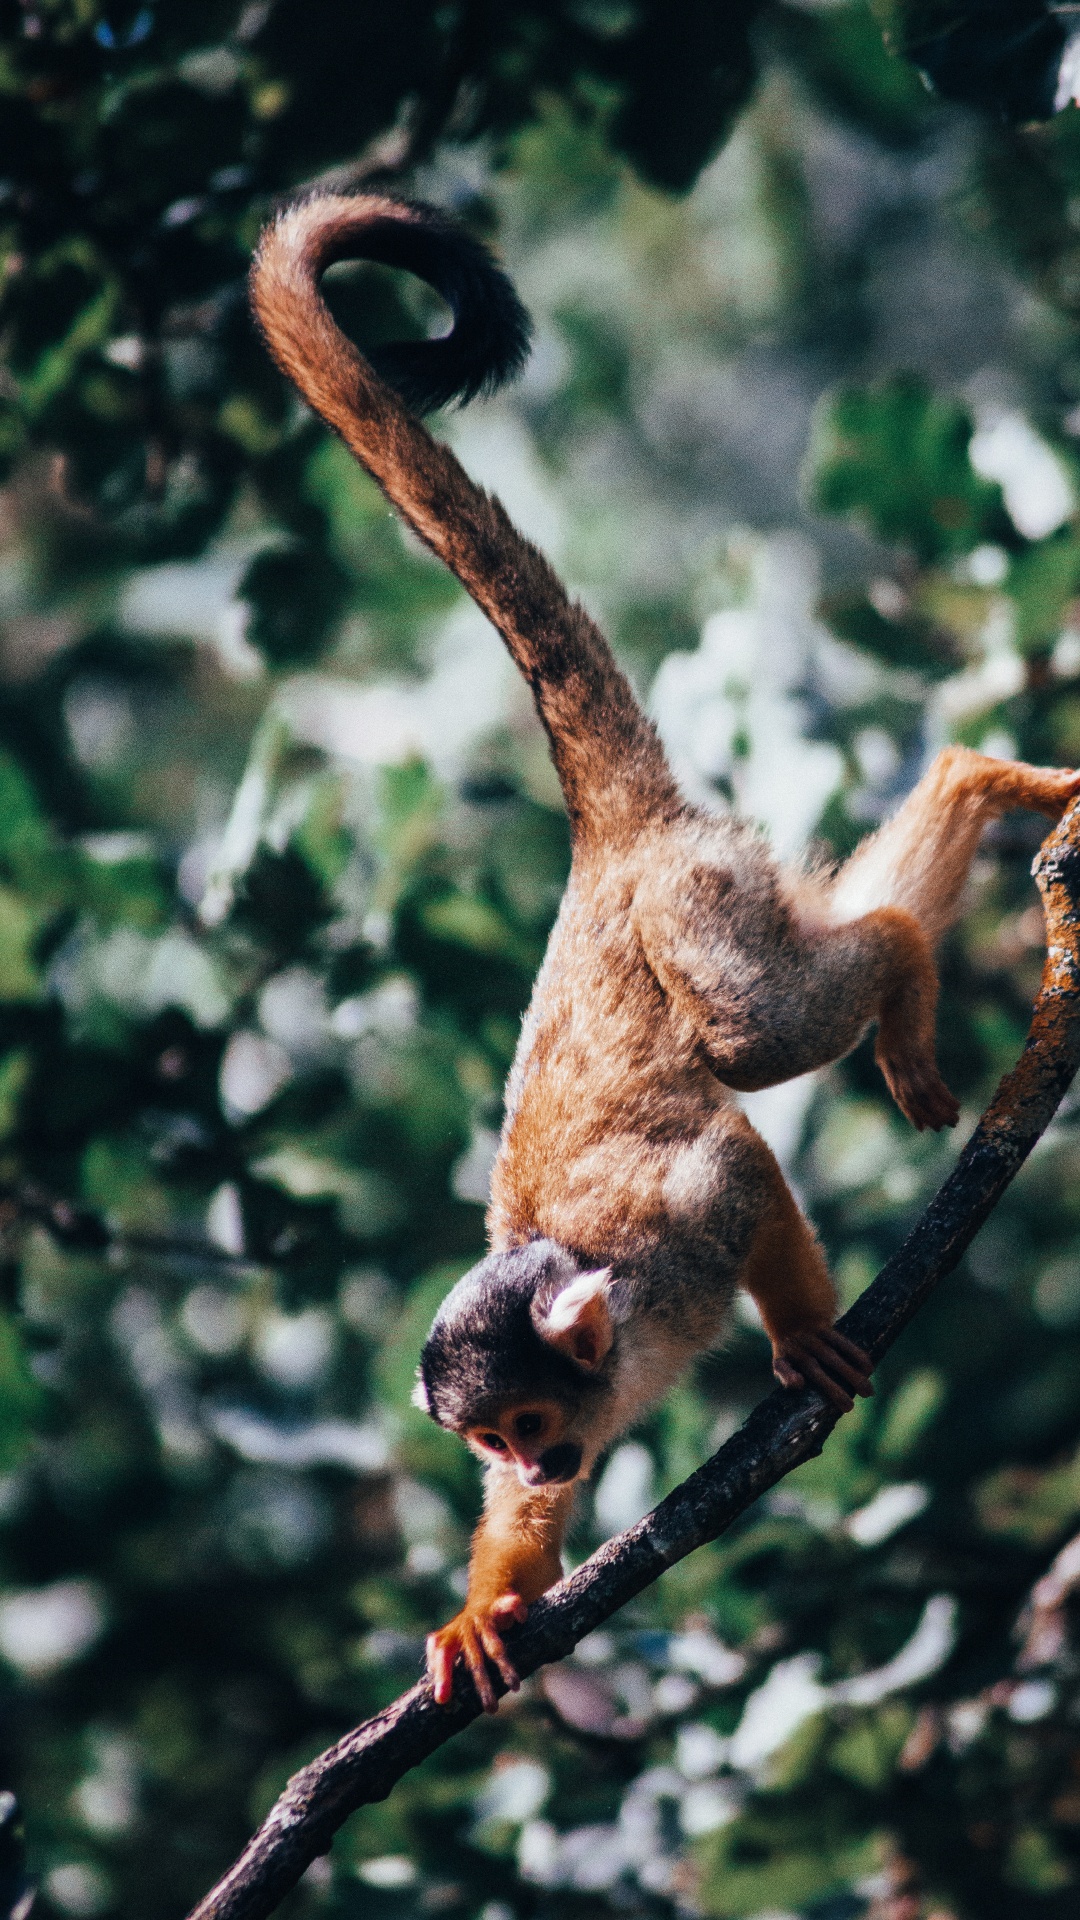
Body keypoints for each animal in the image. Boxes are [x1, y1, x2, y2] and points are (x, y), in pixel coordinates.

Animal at [250, 192, 1080, 1715]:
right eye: (494, 1445)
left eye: (527, 1415)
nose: (533, 1457)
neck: (619, 1346)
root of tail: (605, 843)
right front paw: (487, 1605)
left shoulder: (668, 1240)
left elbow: (736, 1163)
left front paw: (801, 1338)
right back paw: (969, 787)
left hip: (698, 900)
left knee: (762, 1033)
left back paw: (913, 935)